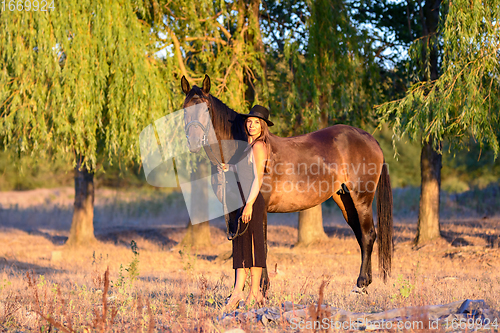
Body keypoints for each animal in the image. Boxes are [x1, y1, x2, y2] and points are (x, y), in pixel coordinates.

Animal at [182, 74, 392, 292]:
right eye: (184, 108)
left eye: (206, 109)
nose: (194, 142)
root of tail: (370, 139)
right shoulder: (234, 211)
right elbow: (239, 247)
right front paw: (237, 289)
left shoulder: (258, 207)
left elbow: (261, 246)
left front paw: (262, 287)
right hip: (345, 200)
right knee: (361, 235)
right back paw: (365, 282)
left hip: (362, 198)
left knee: (368, 235)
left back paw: (361, 282)